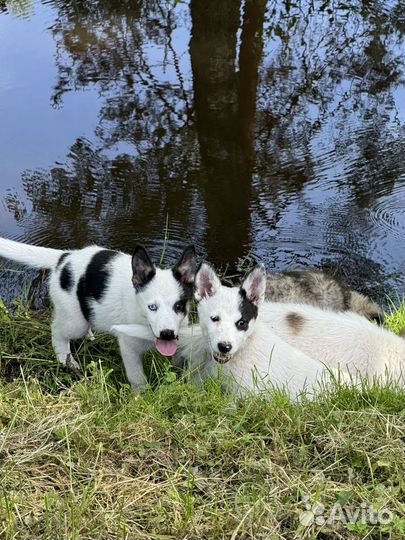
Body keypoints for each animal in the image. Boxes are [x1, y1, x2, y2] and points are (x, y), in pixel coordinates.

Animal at [0, 238, 196, 390]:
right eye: (152, 307)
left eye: (179, 306)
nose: (167, 334)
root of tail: (64, 258)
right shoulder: (129, 347)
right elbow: (137, 378)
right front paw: (142, 397)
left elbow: (180, 361)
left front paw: (182, 378)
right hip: (74, 322)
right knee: (57, 330)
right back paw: (66, 360)